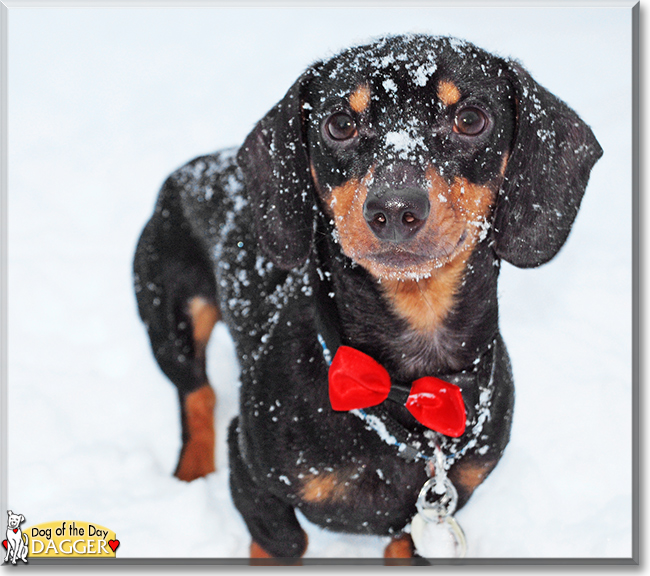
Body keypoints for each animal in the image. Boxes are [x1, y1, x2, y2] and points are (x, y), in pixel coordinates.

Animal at [133, 35, 604, 560]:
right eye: (340, 123)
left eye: (470, 119)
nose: (394, 208)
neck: (405, 383)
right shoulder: (256, 482)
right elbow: (283, 539)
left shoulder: (431, 513)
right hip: (169, 317)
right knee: (197, 394)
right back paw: (190, 477)